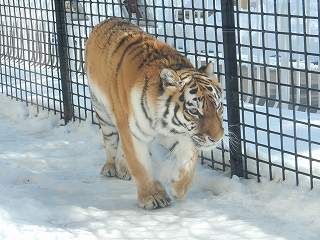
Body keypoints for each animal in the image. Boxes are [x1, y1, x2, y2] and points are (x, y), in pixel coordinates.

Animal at [85, 17, 225, 209]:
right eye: (194, 111)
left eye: (218, 107)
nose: (217, 138)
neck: (165, 122)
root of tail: (108, 19)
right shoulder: (132, 131)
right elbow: (140, 166)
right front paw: (152, 197)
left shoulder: (184, 133)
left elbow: (187, 163)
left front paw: (178, 188)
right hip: (103, 113)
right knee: (111, 140)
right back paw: (110, 167)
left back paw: (123, 169)